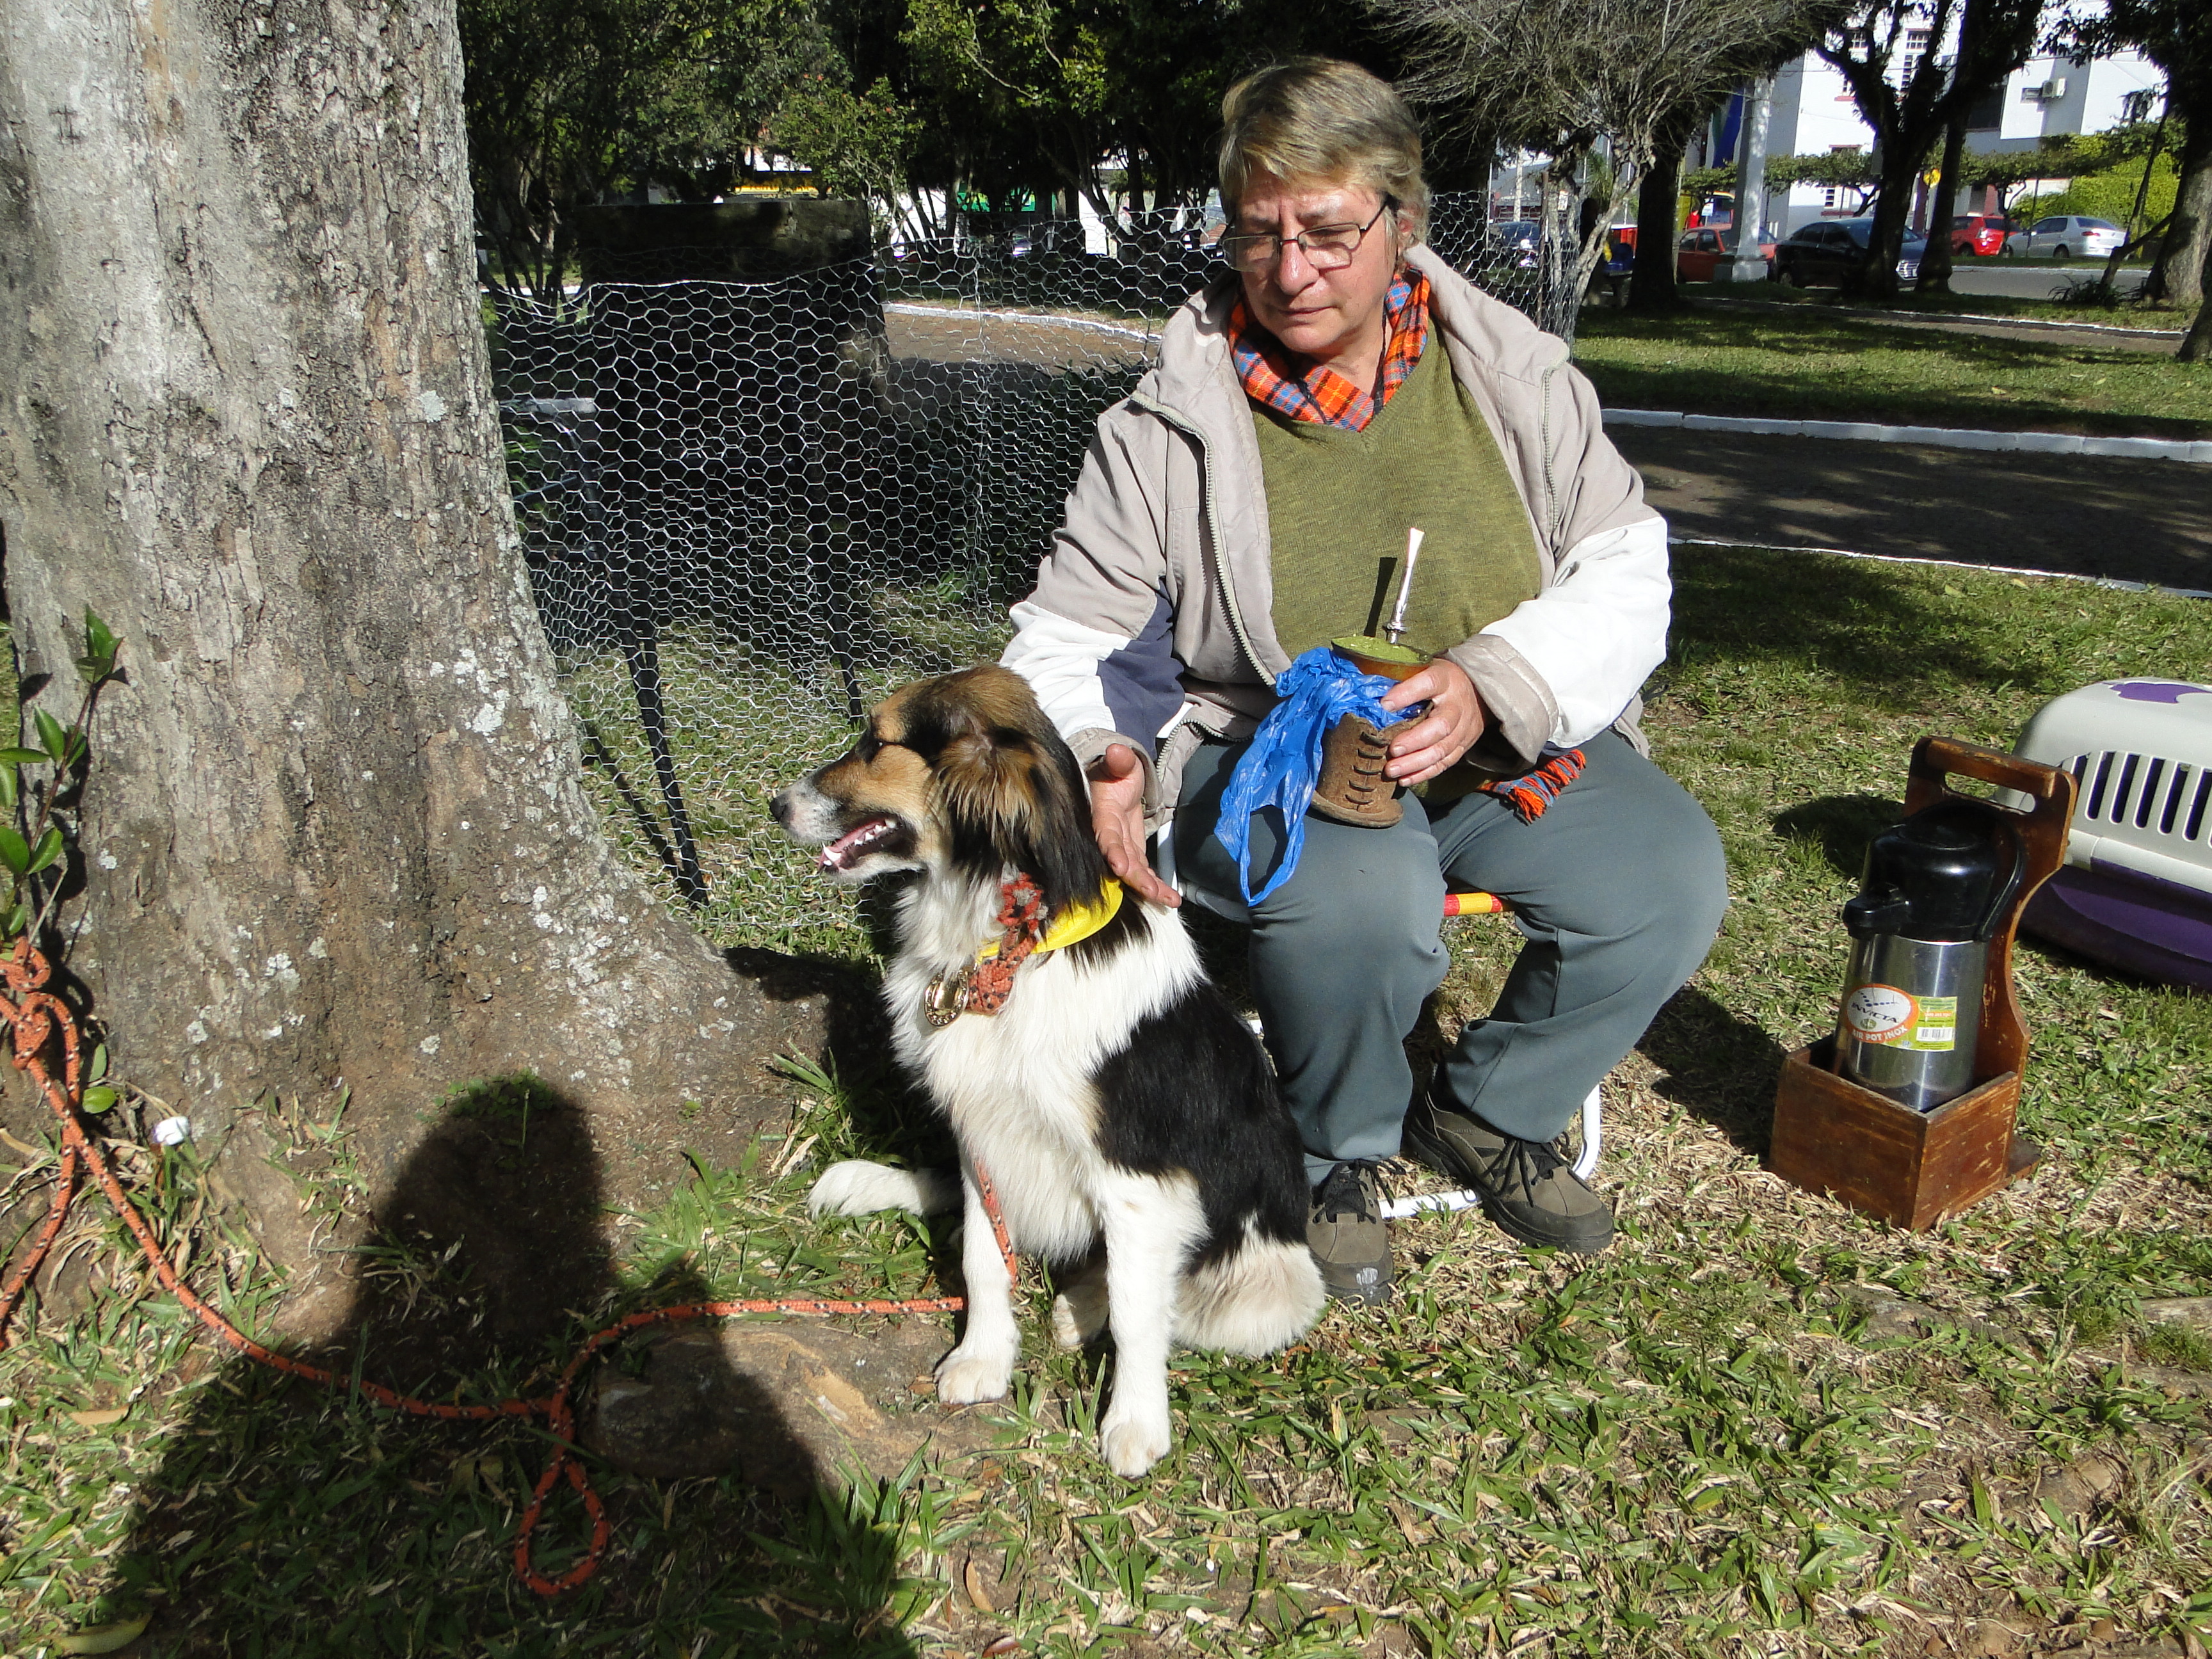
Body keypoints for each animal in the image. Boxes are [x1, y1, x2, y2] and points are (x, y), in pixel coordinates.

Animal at [771, 664, 1323, 1477]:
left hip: (1272, 1281)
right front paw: (985, 1356)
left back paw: (1080, 1309)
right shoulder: (984, 1132)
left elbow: (1138, 1313)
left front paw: (1135, 1420)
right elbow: (982, 1256)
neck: (1009, 951)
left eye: (878, 742)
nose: (775, 805)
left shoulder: (1138, 1179)